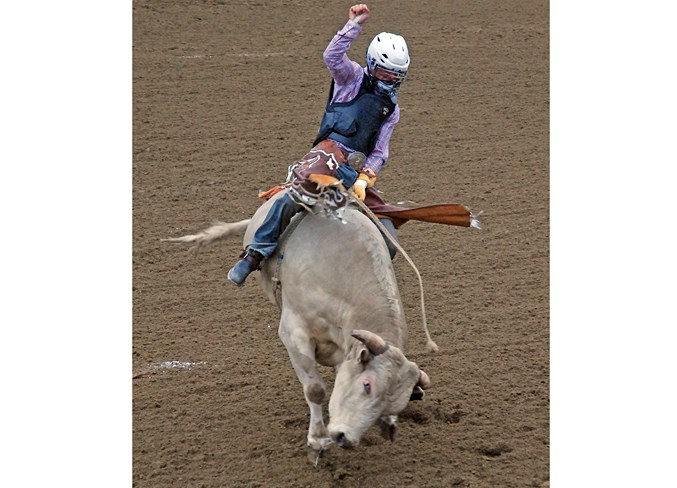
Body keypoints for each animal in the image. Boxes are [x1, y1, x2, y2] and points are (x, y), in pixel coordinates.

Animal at [169, 190, 434, 458]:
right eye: (367, 385)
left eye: (392, 406)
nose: (344, 438)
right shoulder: (294, 333)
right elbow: (315, 390)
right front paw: (317, 440)